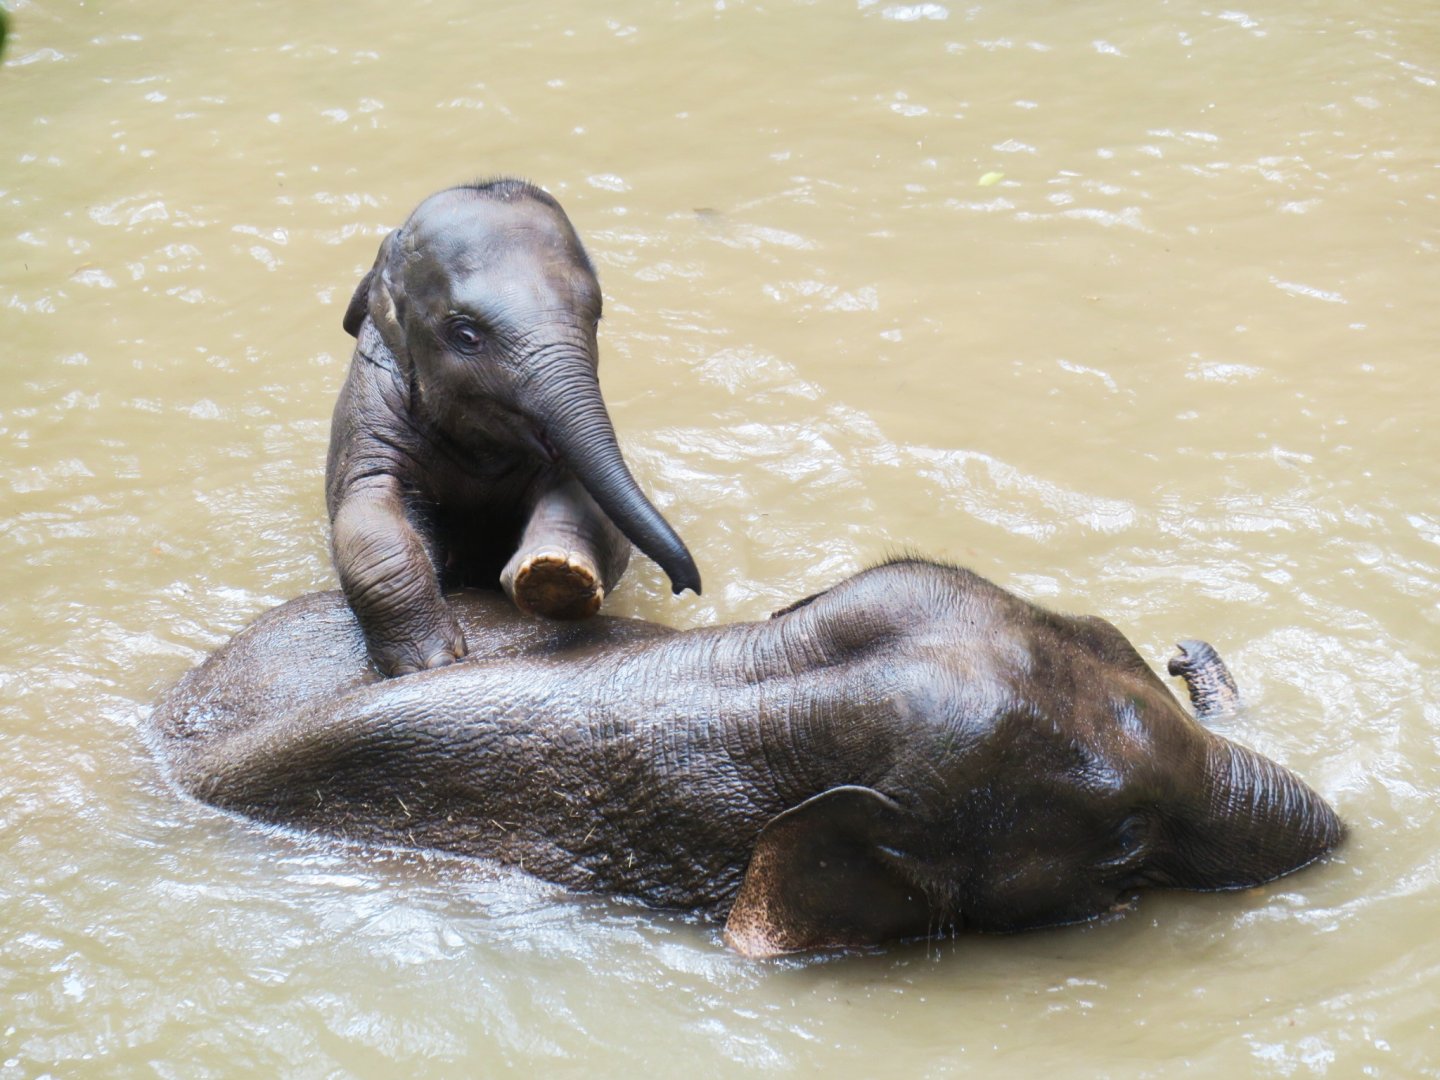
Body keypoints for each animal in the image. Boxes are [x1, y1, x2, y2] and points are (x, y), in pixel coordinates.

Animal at [328, 178, 701, 676]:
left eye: (595, 316)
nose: (686, 587)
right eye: (466, 335)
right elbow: (369, 516)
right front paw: (430, 663)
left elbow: (593, 507)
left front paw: (555, 578)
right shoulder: (370, 412)